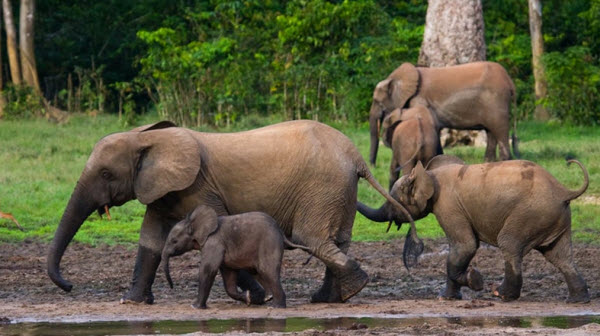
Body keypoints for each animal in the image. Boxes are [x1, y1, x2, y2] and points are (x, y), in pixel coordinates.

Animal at [161, 203, 310, 308]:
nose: (172, 287)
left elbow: (208, 269)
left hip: (269, 243)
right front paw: (248, 298)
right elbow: (229, 276)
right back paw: (268, 298)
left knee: (268, 271)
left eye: (174, 241)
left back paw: (277, 307)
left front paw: (195, 307)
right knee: (260, 271)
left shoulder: (214, 242)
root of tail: (281, 233)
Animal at [356, 156, 592, 304]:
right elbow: (463, 248)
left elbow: (465, 246)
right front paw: (448, 297)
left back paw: (501, 294)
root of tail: (563, 190)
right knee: (560, 256)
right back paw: (577, 300)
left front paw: (473, 281)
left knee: (510, 244)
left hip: (531, 213)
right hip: (554, 217)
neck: (430, 174)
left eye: (393, 199)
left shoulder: (448, 206)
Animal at [368, 61, 516, 165]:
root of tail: (509, 81)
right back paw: (488, 162)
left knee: (500, 132)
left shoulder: (419, 101)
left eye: (377, 101)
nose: (373, 165)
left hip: (496, 102)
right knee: (491, 133)